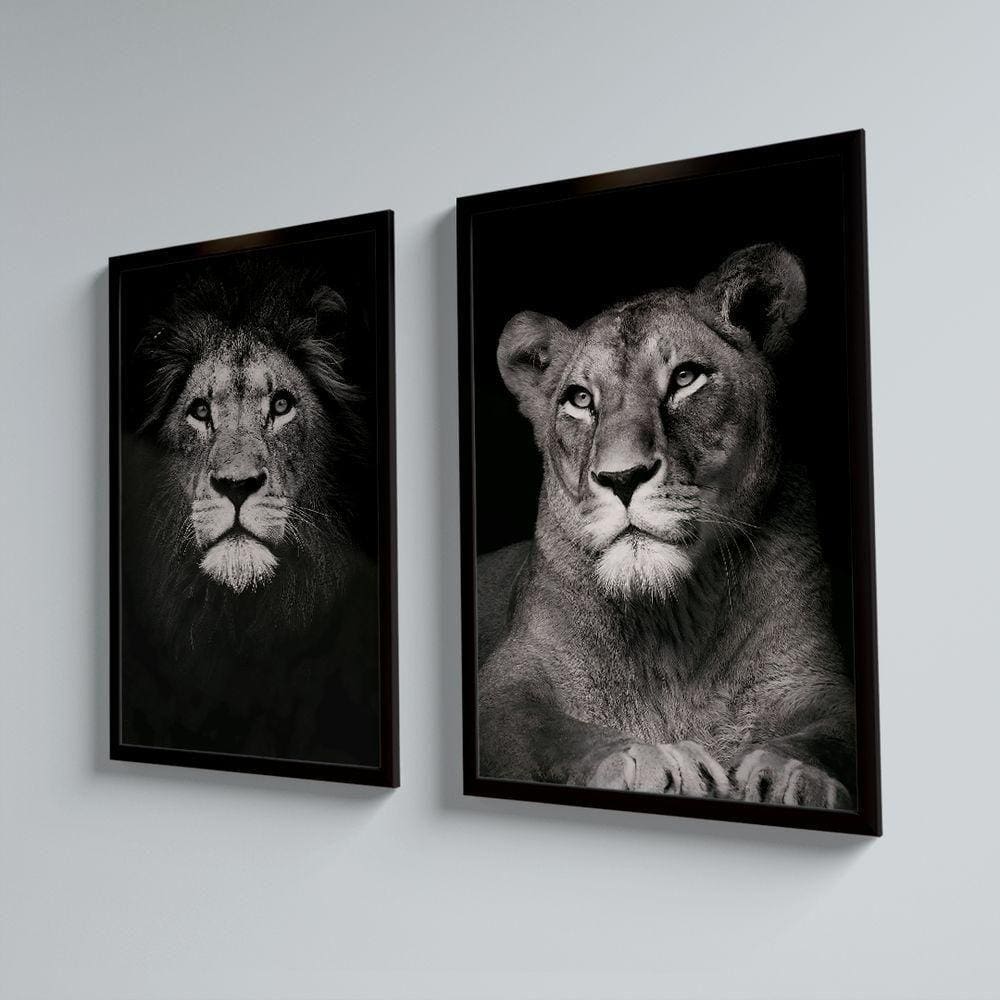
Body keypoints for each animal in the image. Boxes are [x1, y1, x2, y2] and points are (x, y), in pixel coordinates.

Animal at [477, 244, 856, 809]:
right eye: (580, 399)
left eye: (684, 378)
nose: (621, 477)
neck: (674, 619)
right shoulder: (506, 682)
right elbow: (550, 732)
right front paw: (654, 759)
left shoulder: (816, 678)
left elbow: (833, 735)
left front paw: (791, 775)